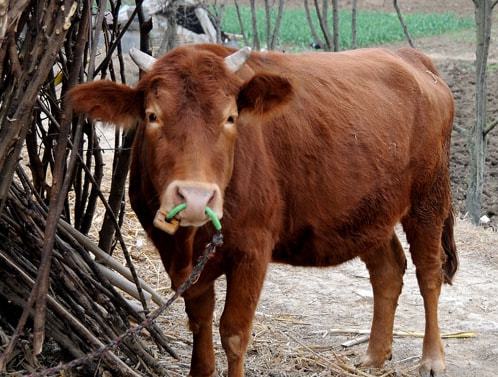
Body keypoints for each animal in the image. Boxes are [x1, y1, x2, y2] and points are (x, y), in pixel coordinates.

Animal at [69, 44, 456, 376]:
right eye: (152, 116)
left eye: (230, 117)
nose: (195, 198)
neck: (191, 242)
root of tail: (410, 56)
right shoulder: (176, 256)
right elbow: (199, 320)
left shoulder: (253, 249)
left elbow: (234, 332)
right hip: (367, 211)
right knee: (388, 269)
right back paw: (374, 355)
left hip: (428, 198)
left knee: (429, 273)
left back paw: (432, 359)